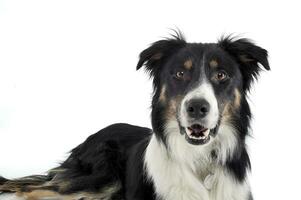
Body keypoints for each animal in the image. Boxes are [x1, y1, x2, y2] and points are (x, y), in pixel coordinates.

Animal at [0, 32, 268, 199]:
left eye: (221, 75)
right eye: (179, 73)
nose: (197, 107)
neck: (199, 159)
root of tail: (92, 136)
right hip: (101, 177)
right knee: (34, 191)